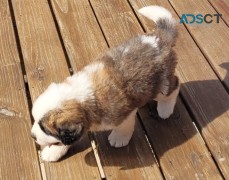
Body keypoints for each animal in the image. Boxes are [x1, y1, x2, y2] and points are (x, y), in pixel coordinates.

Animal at [31, 5, 180, 162]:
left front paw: (119, 138)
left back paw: (165, 109)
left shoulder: (124, 113)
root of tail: (159, 38)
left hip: (160, 84)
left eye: (45, 129)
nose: (32, 136)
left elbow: (123, 127)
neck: (81, 97)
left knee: (174, 87)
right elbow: (64, 140)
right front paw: (53, 151)